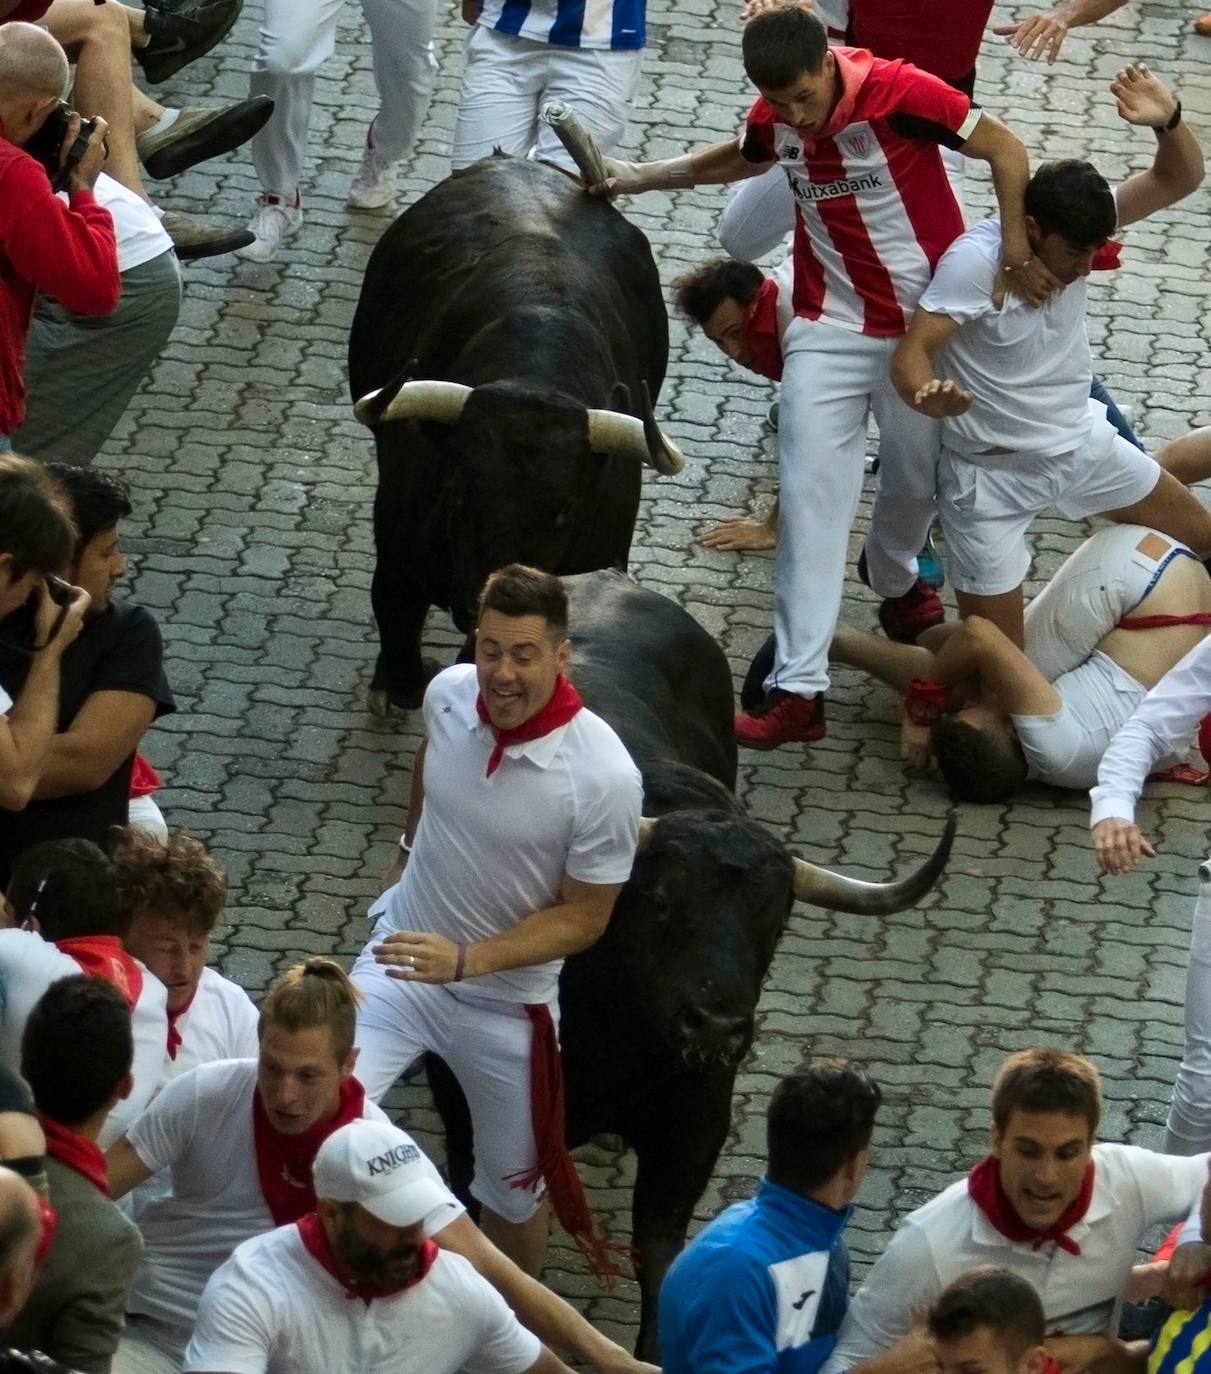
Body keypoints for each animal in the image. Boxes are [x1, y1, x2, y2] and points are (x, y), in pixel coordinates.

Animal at [428, 571, 956, 1363]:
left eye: (775, 923)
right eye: (656, 904)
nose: (715, 1026)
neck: (616, 1040)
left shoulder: (692, 1127)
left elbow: (660, 1247)